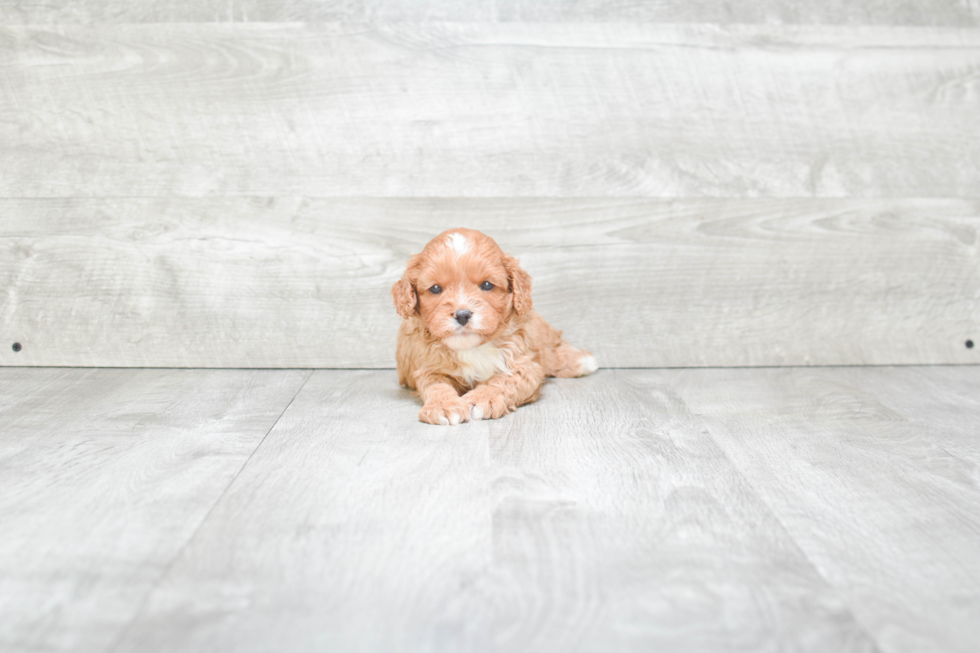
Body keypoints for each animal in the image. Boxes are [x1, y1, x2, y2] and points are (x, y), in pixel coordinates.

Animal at [390, 227, 596, 426]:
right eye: (435, 288)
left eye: (487, 285)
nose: (462, 314)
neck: (471, 348)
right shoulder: (428, 367)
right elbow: (436, 385)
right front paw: (443, 405)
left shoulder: (524, 365)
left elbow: (504, 380)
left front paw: (482, 399)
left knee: (551, 350)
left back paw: (582, 361)